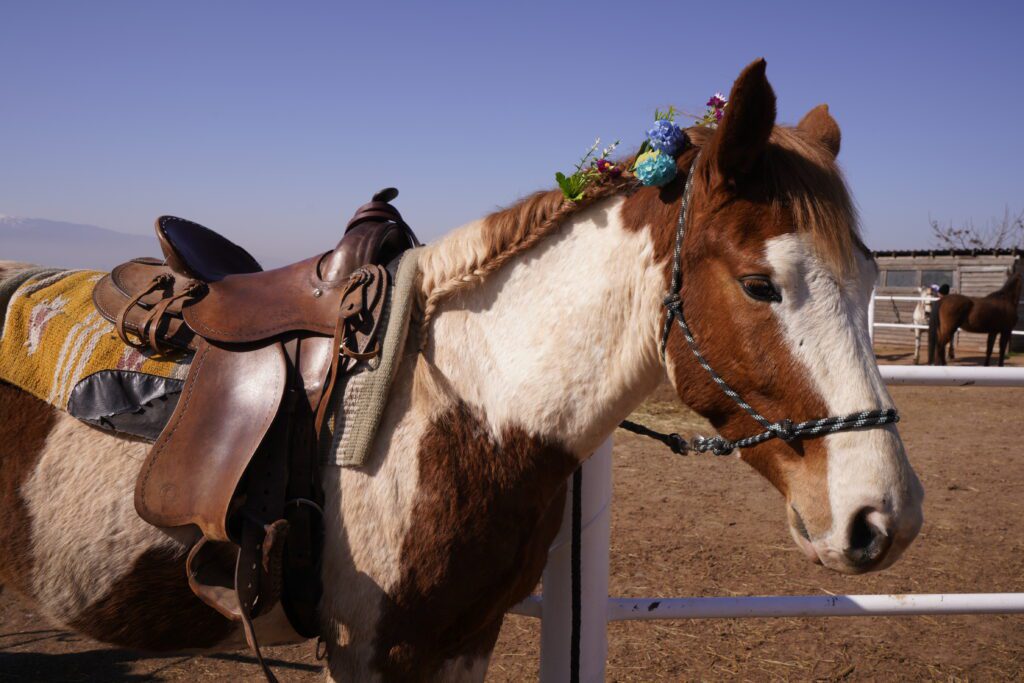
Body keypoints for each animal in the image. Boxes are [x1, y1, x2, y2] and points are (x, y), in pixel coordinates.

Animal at [0, 60, 924, 681]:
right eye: (760, 283)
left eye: (872, 280)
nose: (884, 517)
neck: (466, 408)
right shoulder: (377, 652)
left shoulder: (462, 641)